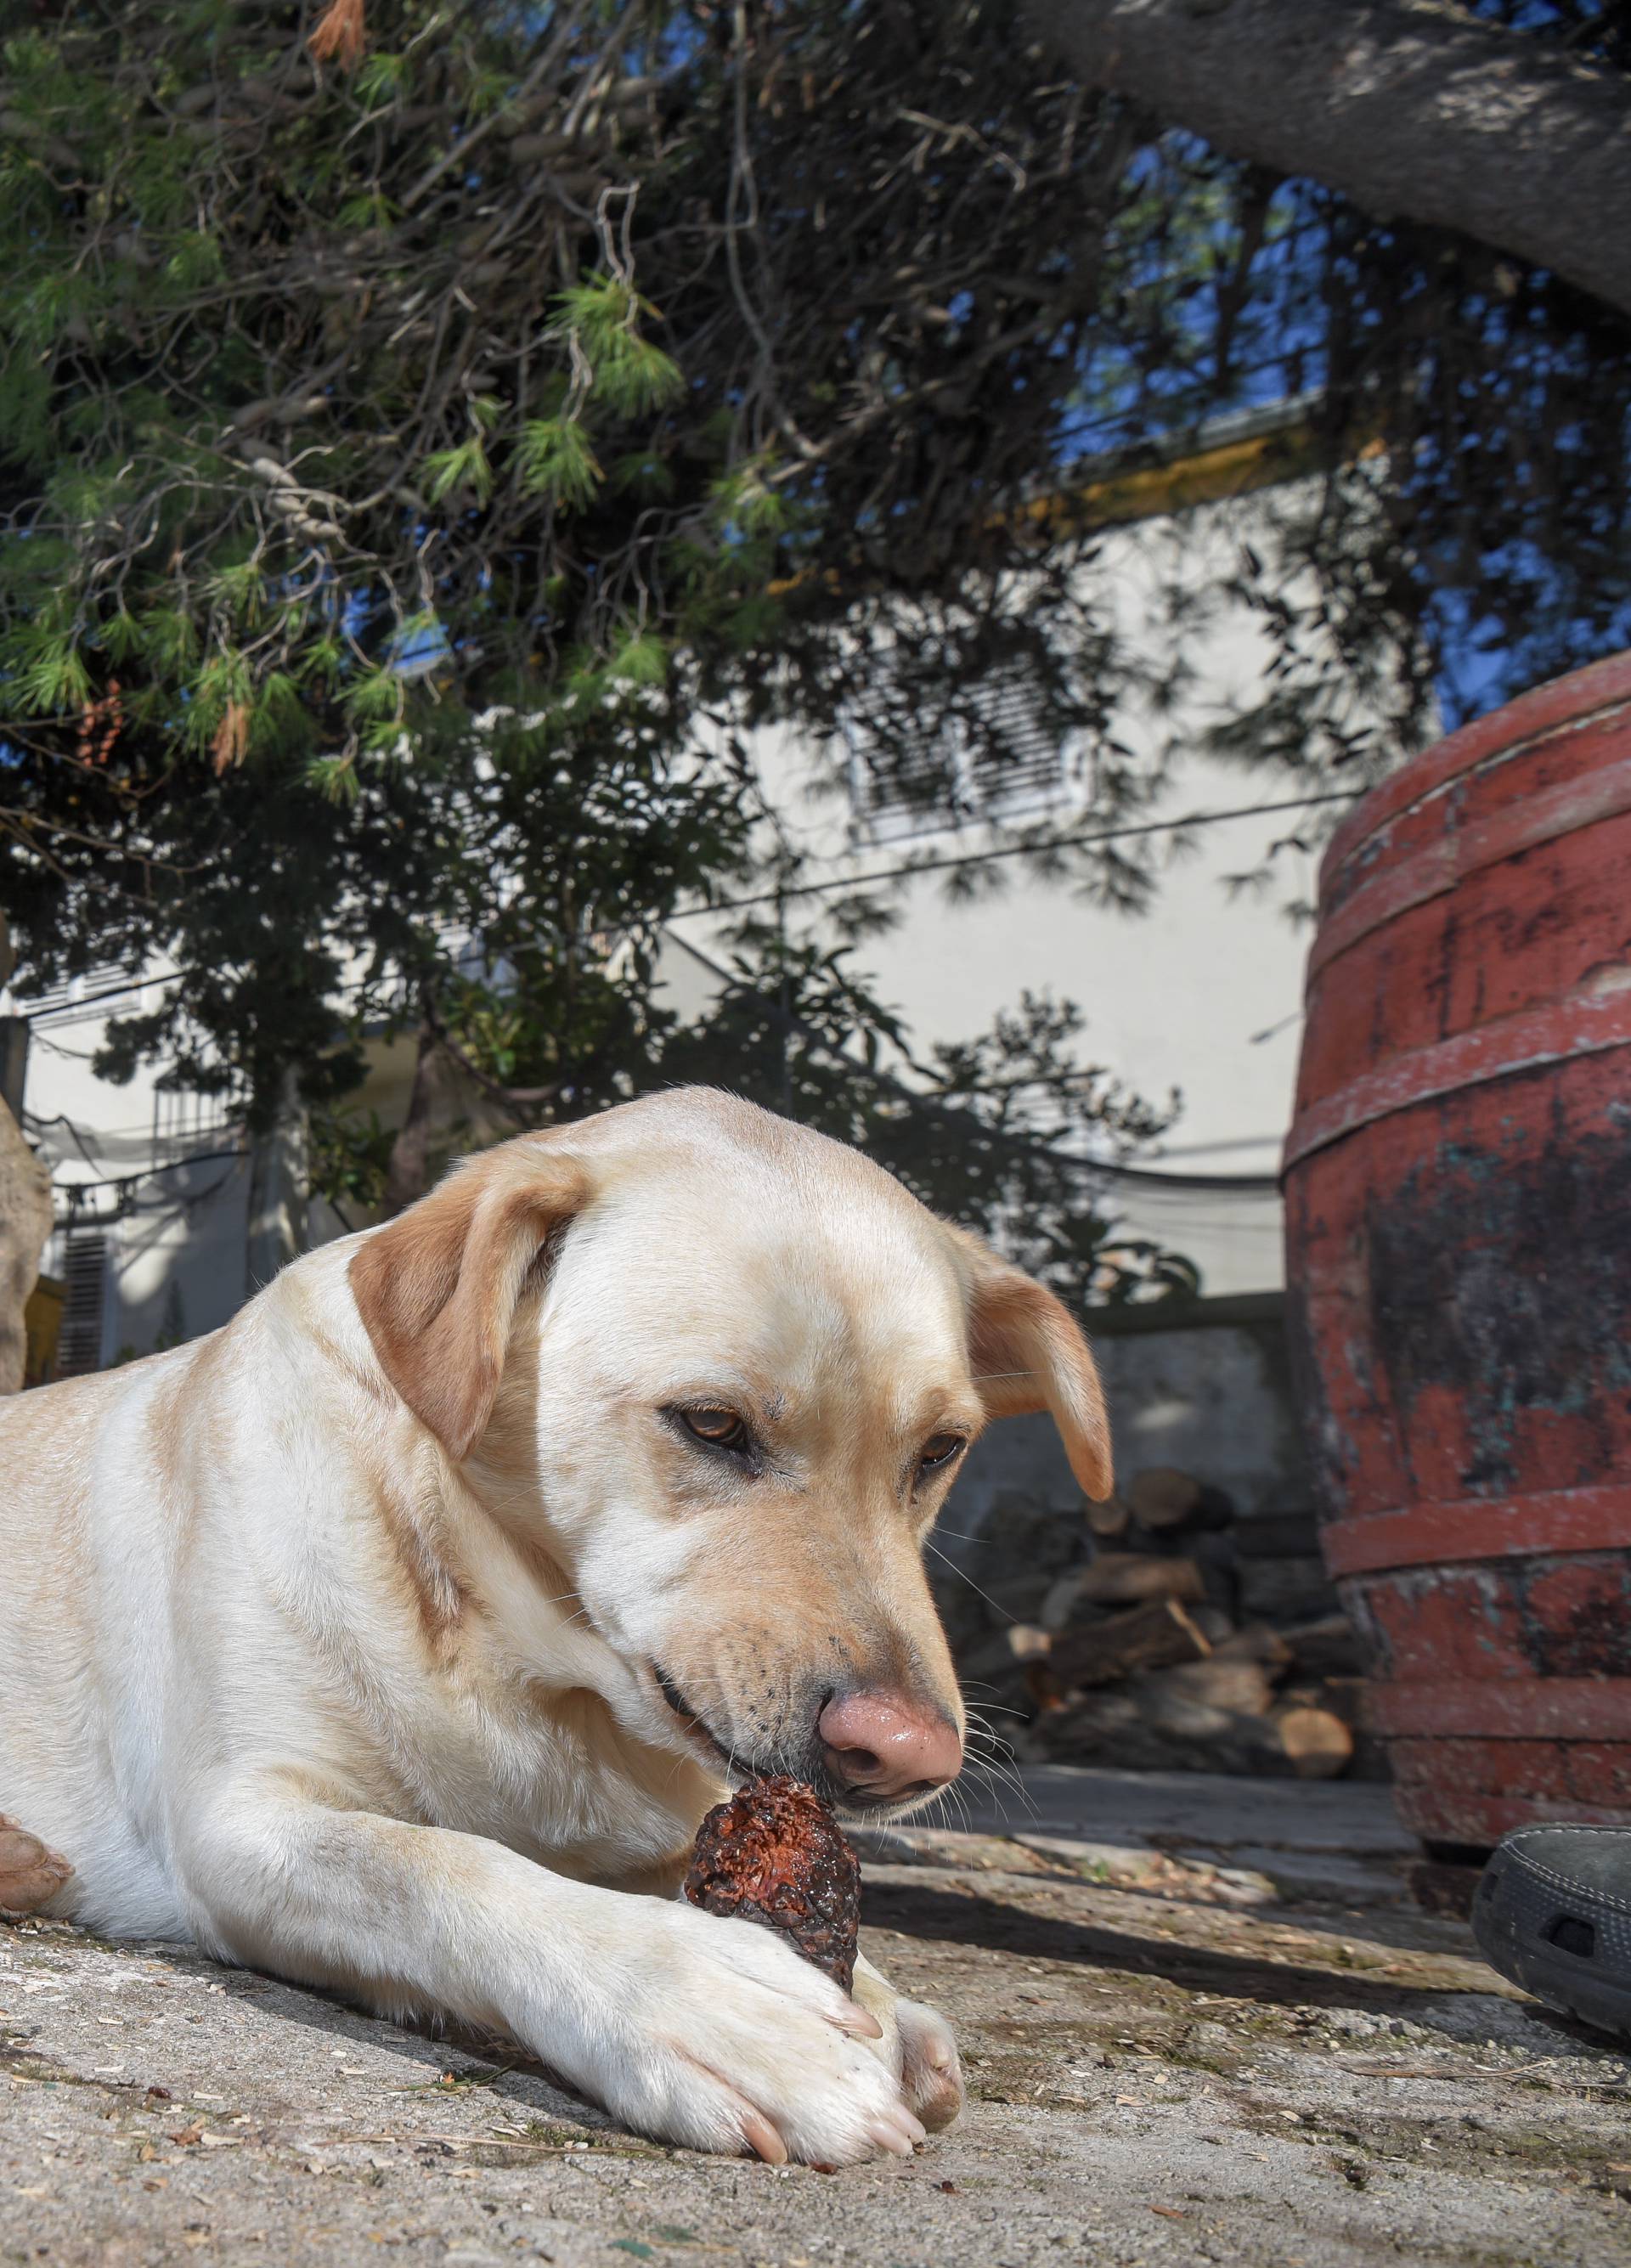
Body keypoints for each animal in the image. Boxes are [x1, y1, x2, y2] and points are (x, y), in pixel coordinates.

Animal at [0, 1088, 1111, 2168]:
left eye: (939, 1451)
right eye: (712, 1424)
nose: (914, 1760)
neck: (507, 1653)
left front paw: (884, 2000)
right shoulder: (239, 1824)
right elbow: (442, 1867)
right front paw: (713, 2005)